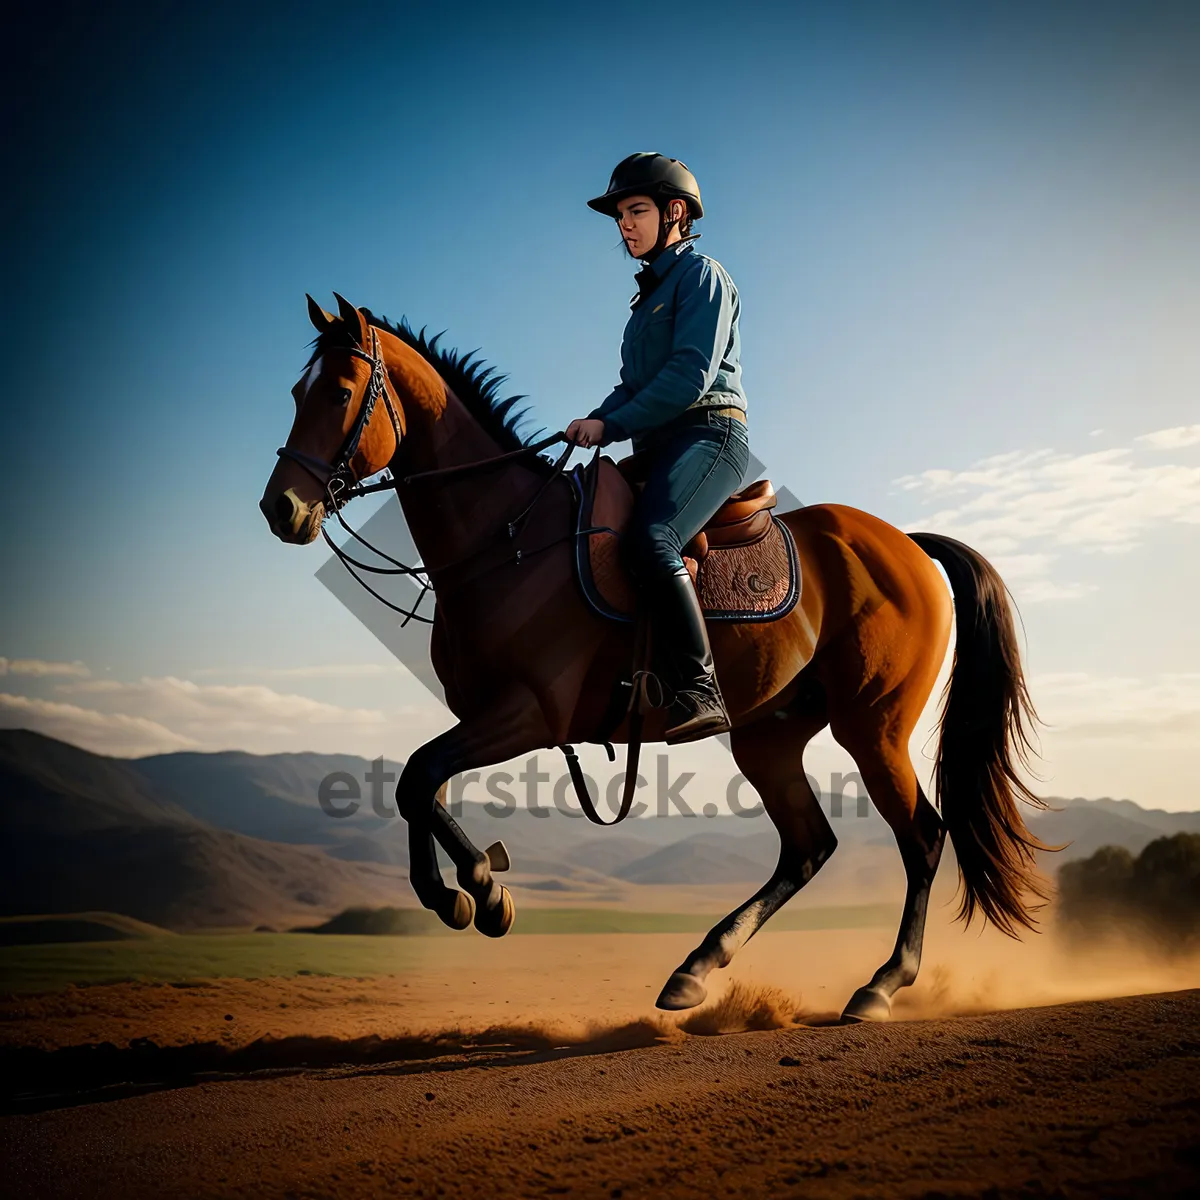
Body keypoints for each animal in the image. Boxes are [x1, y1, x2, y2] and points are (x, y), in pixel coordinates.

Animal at [260, 295, 1051, 1017]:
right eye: (297, 393)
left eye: (339, 393)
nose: (281, 509)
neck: (507, 538)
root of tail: (907, 545)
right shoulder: (481, 717)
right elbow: (418, 788)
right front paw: (466, 891)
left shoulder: (530, 715)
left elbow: (419, 779)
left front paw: (480, 891)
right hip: (769, 736)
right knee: (807, 845)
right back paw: (696, 970)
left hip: (873, 727)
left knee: (921, 837)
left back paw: (879, 986)